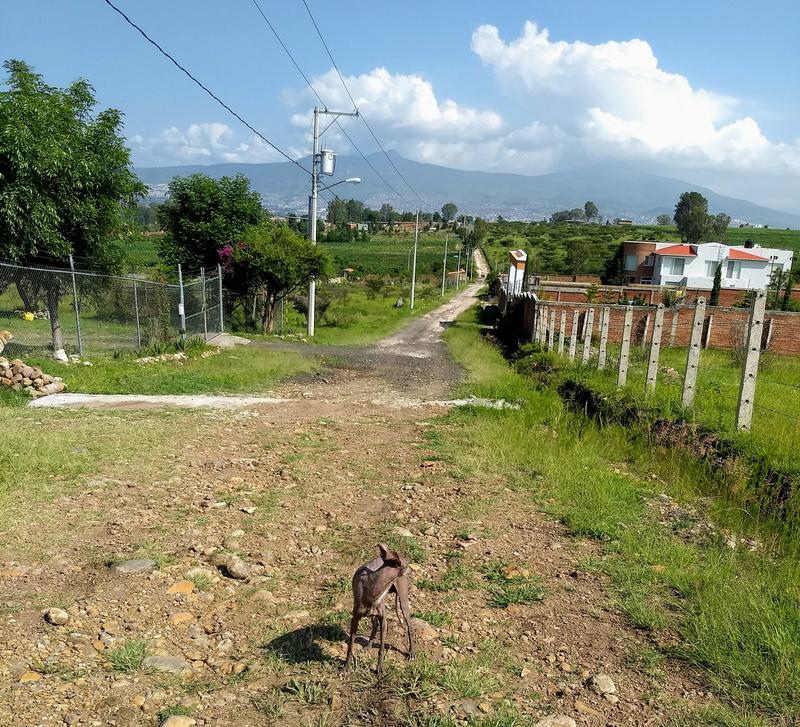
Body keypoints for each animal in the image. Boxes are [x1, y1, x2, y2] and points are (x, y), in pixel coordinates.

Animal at [344, 544, 416, 672]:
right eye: (407, 564)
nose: (413, 569)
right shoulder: (355, 619)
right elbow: (350, 646)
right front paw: (346, 667)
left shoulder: (384, 620)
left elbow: (381, 649)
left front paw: (380, 669)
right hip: (373, 614)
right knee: (374, 626)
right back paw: (368, 646)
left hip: (403, 602)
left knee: (410, 627)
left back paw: (411, 653)